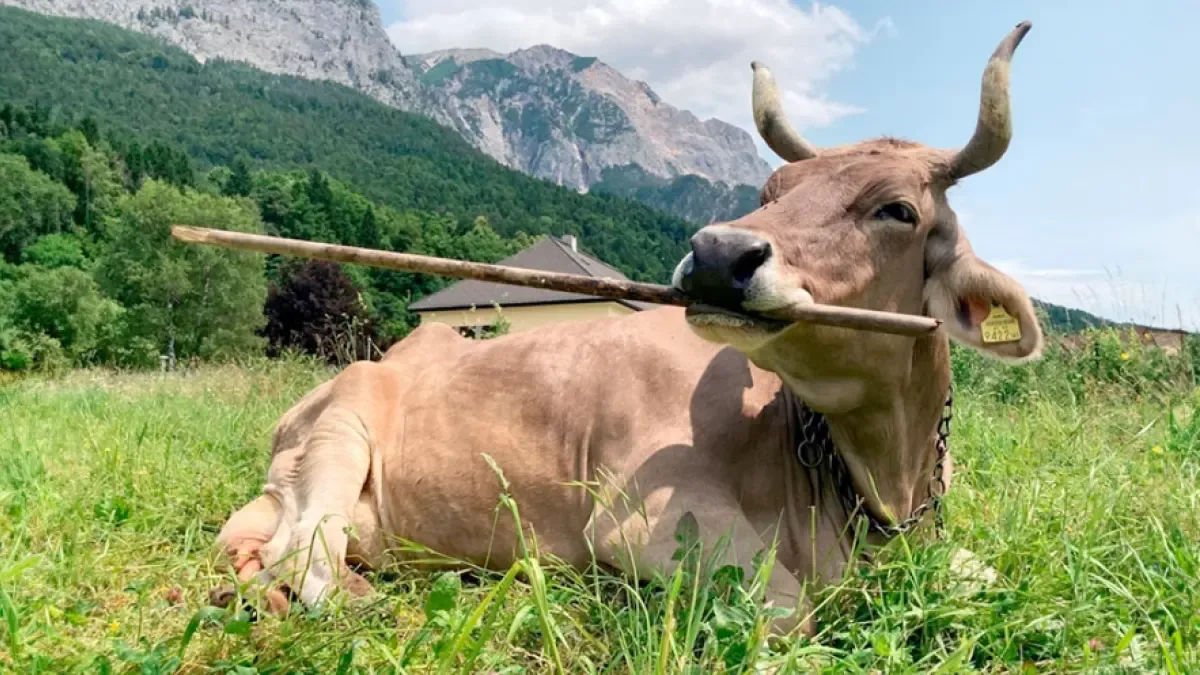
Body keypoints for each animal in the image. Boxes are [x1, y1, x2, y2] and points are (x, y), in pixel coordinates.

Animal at [210, 21, 1043, 636]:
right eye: (771, 190)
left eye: (897, 209)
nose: (718, 253)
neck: (880, 484)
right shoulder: (643, 520)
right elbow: (791, 611)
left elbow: (998, 576)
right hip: (339, 436)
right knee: (303, 562)